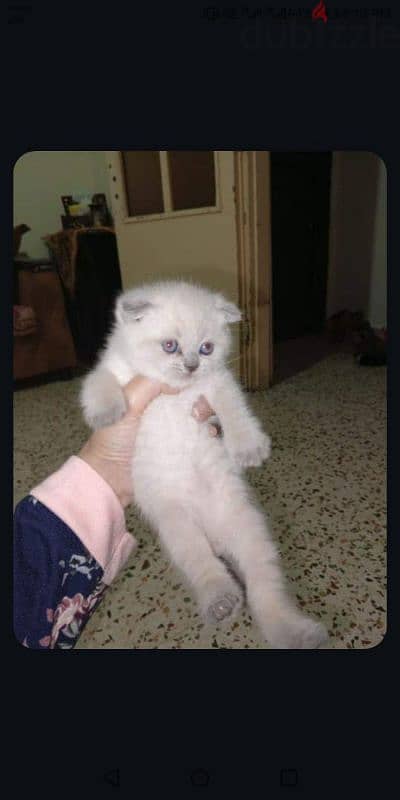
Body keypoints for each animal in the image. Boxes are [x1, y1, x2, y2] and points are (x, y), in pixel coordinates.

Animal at [80, 282, 328, 648]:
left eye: (206, 348)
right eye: (170, 346)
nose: (192, 366)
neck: (175, 393)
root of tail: (217, 538)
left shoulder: (219, 385)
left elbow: (234, 411)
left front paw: (248, 447)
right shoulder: (114, 371)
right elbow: (100, 382)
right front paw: (107, 413)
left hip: (248, 527)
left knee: (264, 591)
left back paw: (299, 634)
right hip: (179, 528)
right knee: (207, 568)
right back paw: (221, 602)